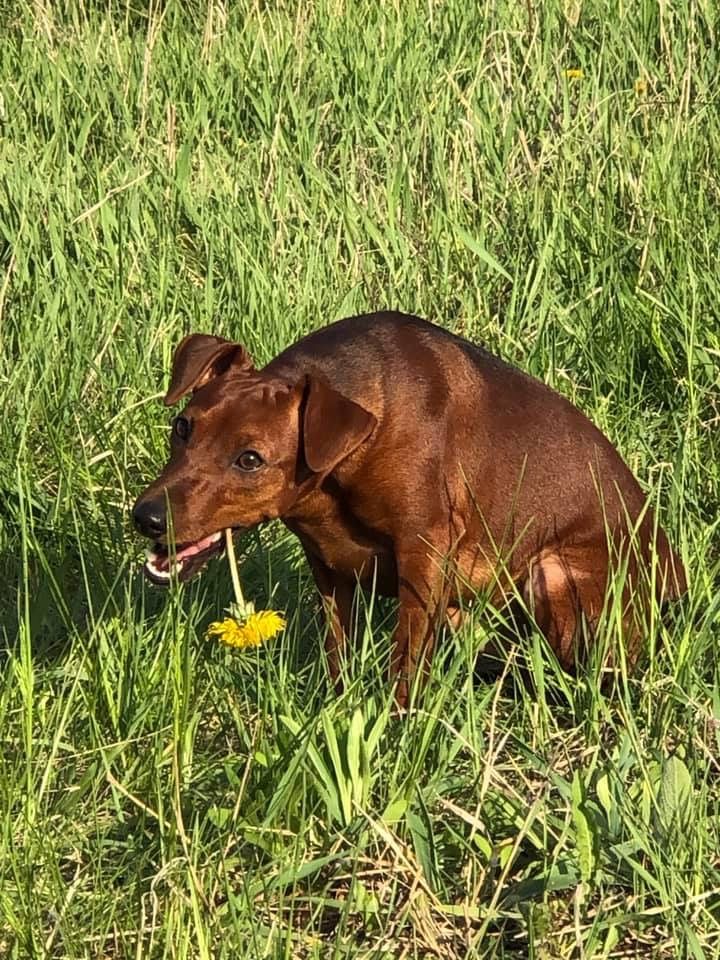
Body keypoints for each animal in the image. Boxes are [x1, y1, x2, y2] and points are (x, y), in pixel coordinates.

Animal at [134, 310, 688, 704]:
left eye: (250, 459)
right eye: (182, 427)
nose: (146, 517)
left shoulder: (423, 553)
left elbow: (406, 661)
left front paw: (395, 726)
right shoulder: (327, 565)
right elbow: (339, 651)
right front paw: (335, 710)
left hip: (551, 574)